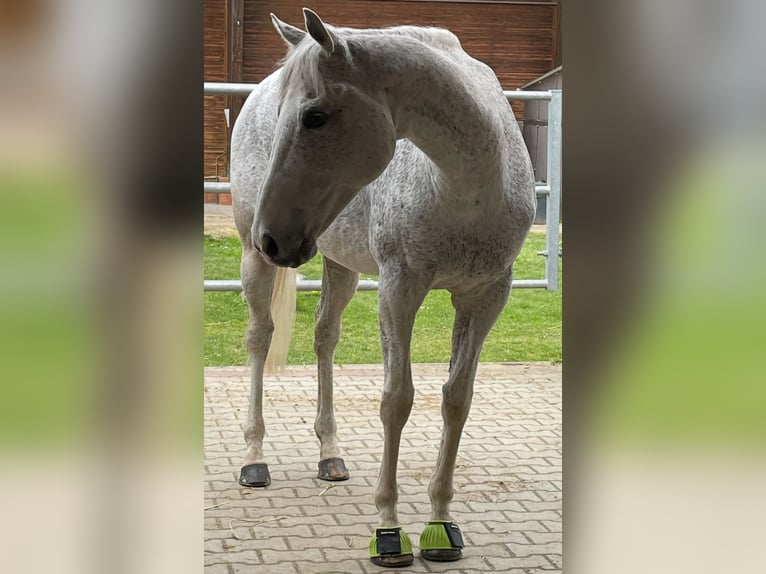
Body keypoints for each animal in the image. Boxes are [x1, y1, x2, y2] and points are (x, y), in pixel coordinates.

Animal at [229, 8, 535, 566]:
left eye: (315, 117)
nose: (272, 237)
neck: (466, 185)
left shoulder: (485, 298)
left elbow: (457, 400)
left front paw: (441, 523)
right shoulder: (400, 289)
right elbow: (396, 400)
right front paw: (389, 529)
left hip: (338, 265)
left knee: (324, 338)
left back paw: (330, 455)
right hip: (251, 260)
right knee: (259, 339)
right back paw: (253, 458)